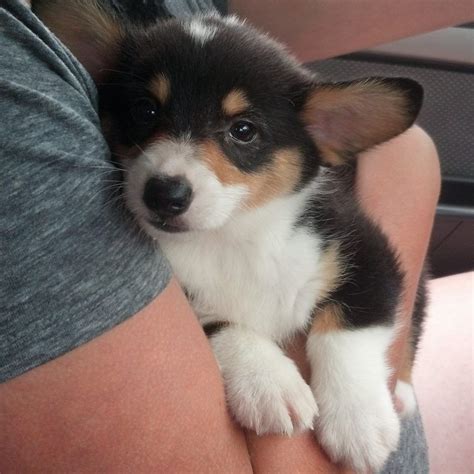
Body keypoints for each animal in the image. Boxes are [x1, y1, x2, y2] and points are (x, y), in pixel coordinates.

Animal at [34, 0, 426, 470]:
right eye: (145, 110)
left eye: (243, 130)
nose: (164, 193)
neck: (232, 235)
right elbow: (221, 322)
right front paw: (268, 382)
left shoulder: (365, 250)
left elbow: (349, 329)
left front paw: (359, 421)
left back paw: (401, 392)